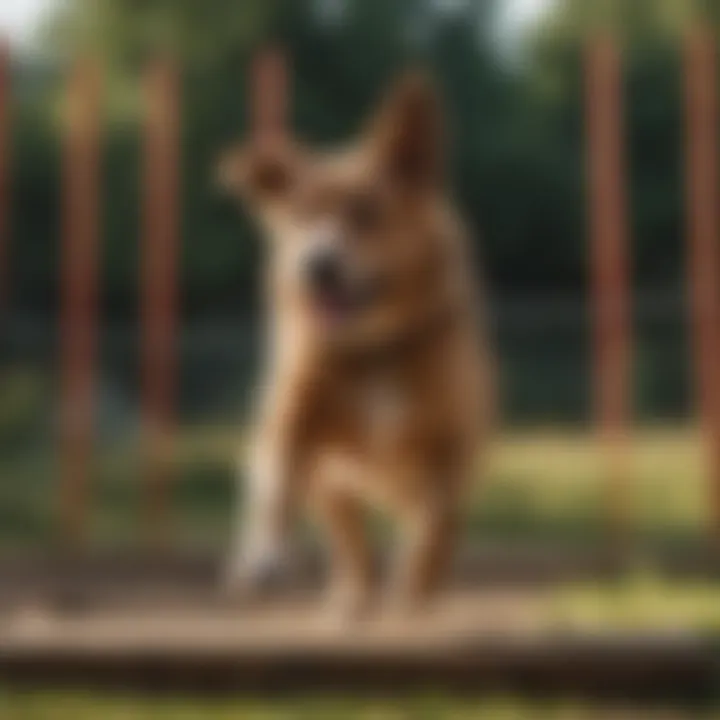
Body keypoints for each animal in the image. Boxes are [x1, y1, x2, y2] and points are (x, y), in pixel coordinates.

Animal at [217, 60, 492, 620]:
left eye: (366, 212)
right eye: (301, 217)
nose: (316, 266)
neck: (373, 349)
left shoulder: (453, 445)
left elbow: (437, 523)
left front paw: (416, 584)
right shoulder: (294, 418)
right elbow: (275, 478)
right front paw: (263, 558)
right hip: (332, 486)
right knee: (351, 543)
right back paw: (351, 598)